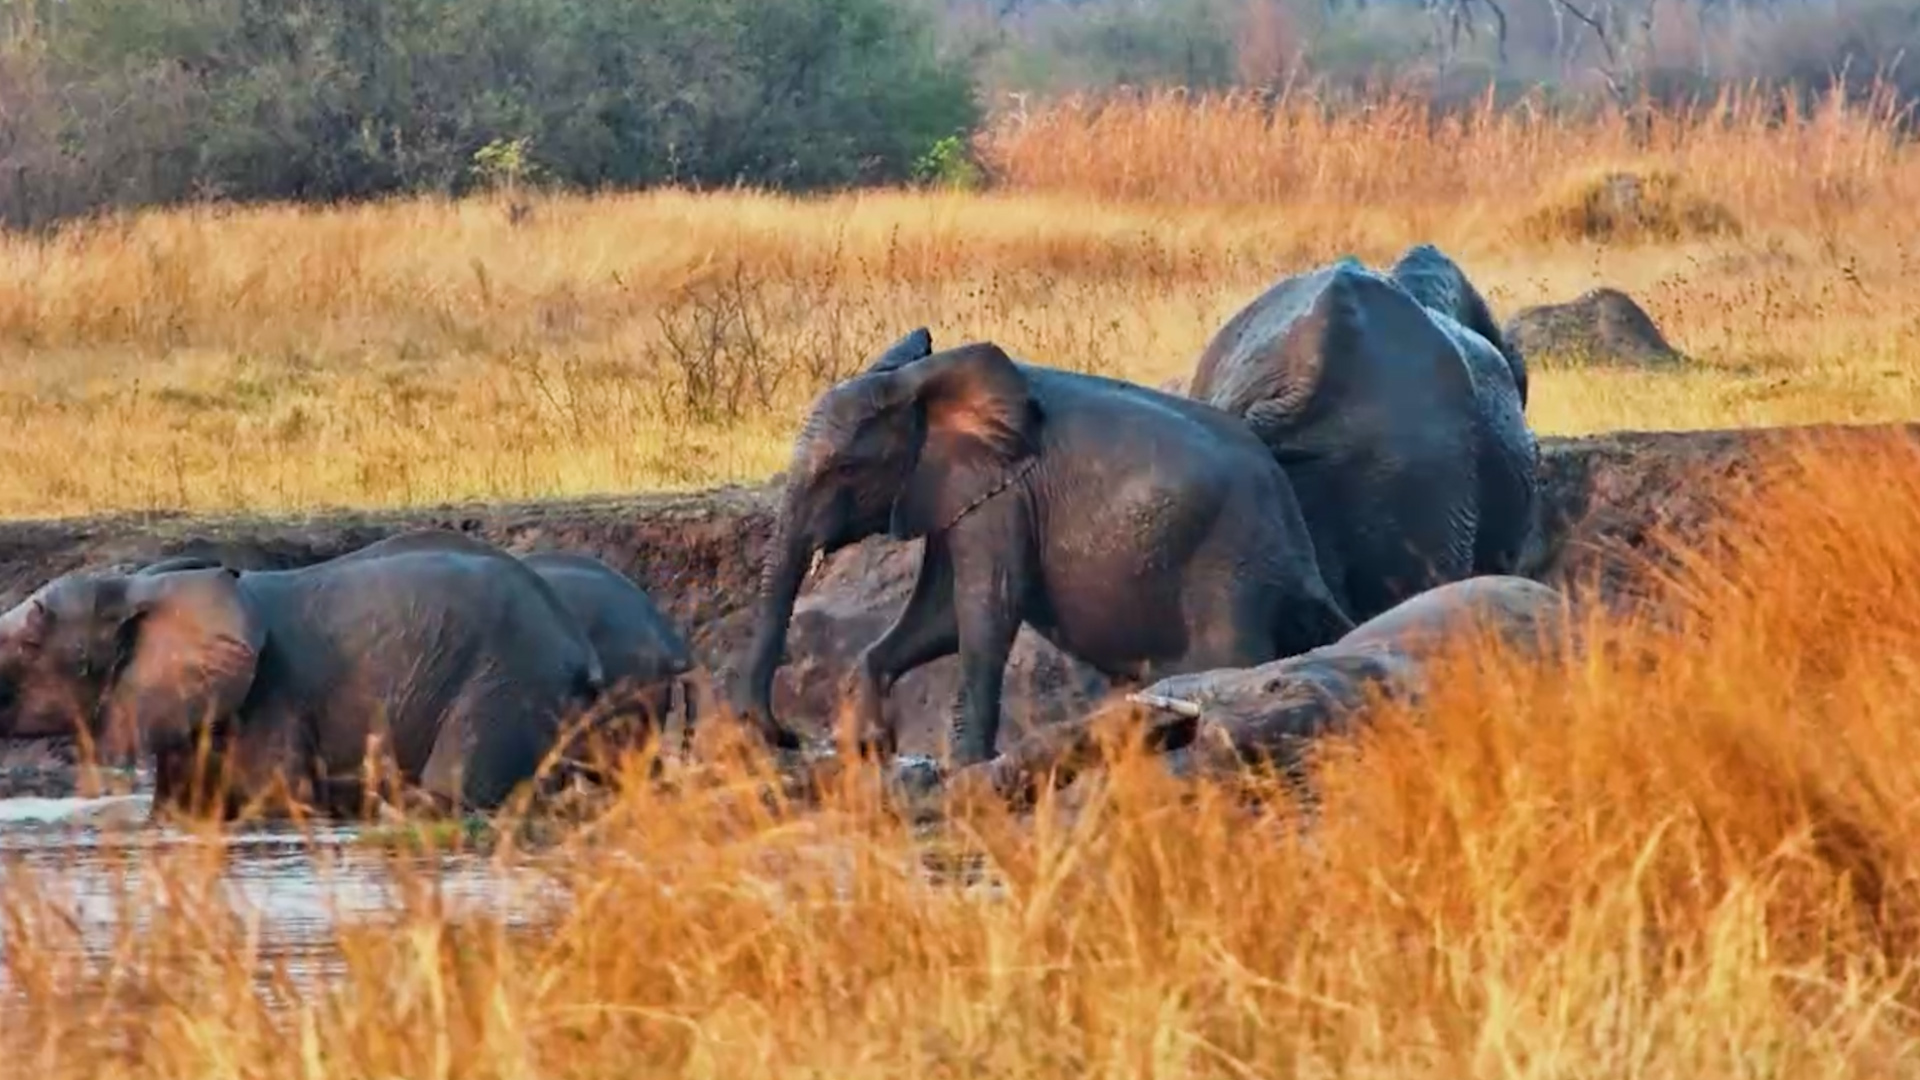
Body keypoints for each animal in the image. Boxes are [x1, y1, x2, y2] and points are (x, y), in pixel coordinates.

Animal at [0, 530, 606, 819]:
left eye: (31, 640)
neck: (139, 588)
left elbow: (275, 801)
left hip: (506, 680)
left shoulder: (271, 700)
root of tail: (579, 649)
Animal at [734, 327, 1354, 769]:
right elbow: (939, 616)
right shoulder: (958, 492)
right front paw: (868, 745)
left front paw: (967, 767)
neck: (921, 380)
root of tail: (1301, 556)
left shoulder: (1003, 495)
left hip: (1228, 573)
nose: (786, 737)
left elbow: (984, 612)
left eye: (844, 470)